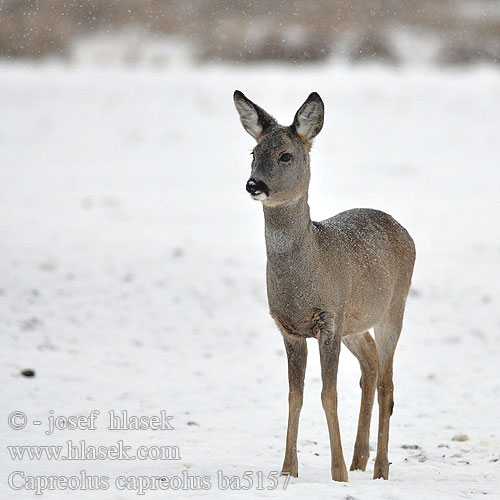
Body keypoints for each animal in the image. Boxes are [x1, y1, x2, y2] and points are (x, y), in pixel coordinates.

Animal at [233, 90, 414, 480]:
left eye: (285, 155)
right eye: (253, 153)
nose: (254, 185)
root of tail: (402, 229)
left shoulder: (329, 319)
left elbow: (328, 394)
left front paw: (338, 473)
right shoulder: (289, 328)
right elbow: (295, 395)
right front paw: (289, 470)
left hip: (393, 308)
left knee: (386, 383)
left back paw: (379, 469)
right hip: (354, 323)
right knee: (370, 366)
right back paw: (360, 459)